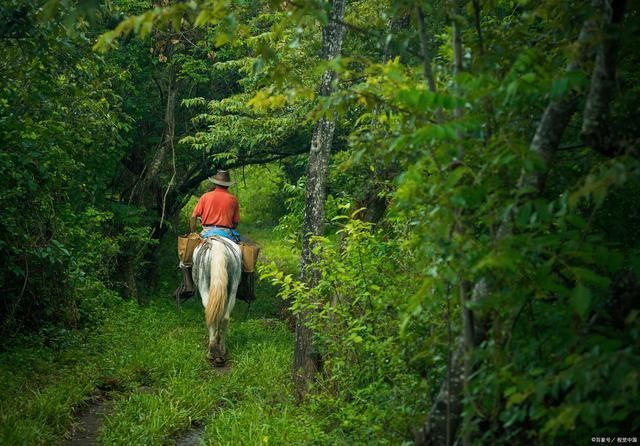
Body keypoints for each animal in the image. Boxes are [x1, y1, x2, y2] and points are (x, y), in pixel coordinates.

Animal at [191, 237, 241, 366]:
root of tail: (218, 248)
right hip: (233, 286)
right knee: (225, 318)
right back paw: (221, 352)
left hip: (203, 284)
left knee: (209, 314)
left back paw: (211, 351)